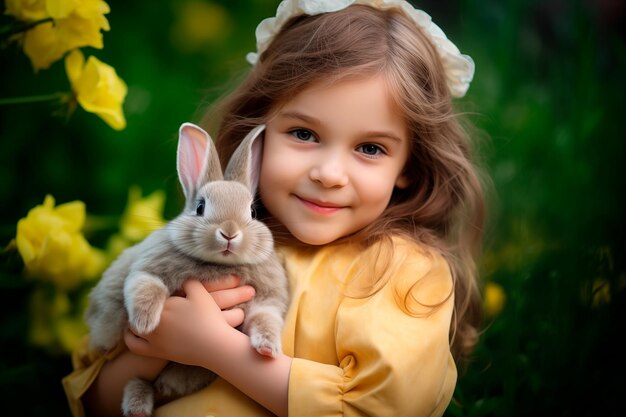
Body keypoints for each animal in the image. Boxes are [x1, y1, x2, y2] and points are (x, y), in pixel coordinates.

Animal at [84, 122, 288, 416]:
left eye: (252, 212)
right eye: (200, 207)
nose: (229, 232)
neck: (218, 265)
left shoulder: (265, 302)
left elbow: (265, 320)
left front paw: (269, 350)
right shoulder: (145, 270)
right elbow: (147, 287)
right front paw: (145, 323)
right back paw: (136, 406)